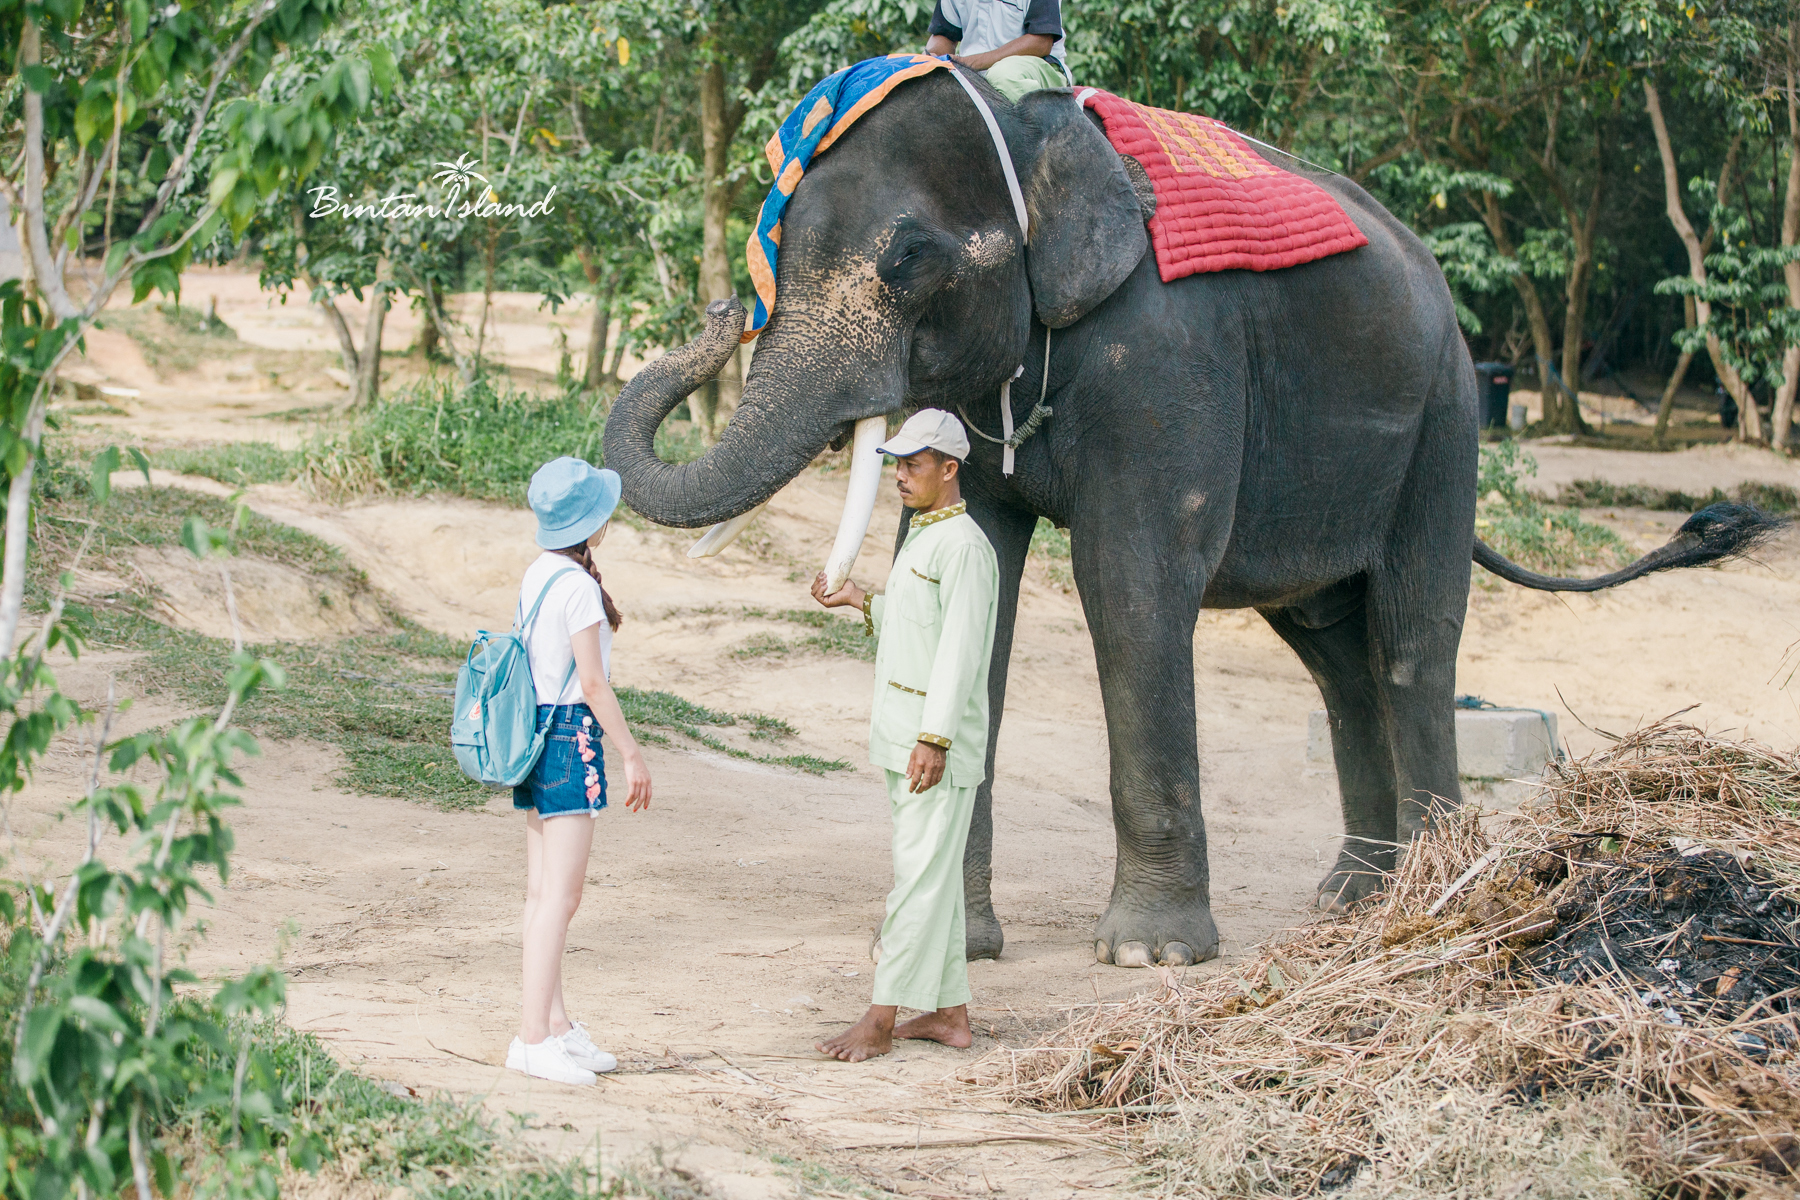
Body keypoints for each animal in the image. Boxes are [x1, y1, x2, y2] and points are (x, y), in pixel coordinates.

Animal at [601, 72, 1771, 964]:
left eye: (907, 262)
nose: (719, 311)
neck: (1032, 137)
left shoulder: (1170, 357)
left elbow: (1131, 584)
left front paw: (1150, 955)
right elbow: (981, 589)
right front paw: (957, 946)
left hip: (1447, 417)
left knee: (1411, 636)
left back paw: (1432, 894)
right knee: (1335, 657)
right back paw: (1354, 898)